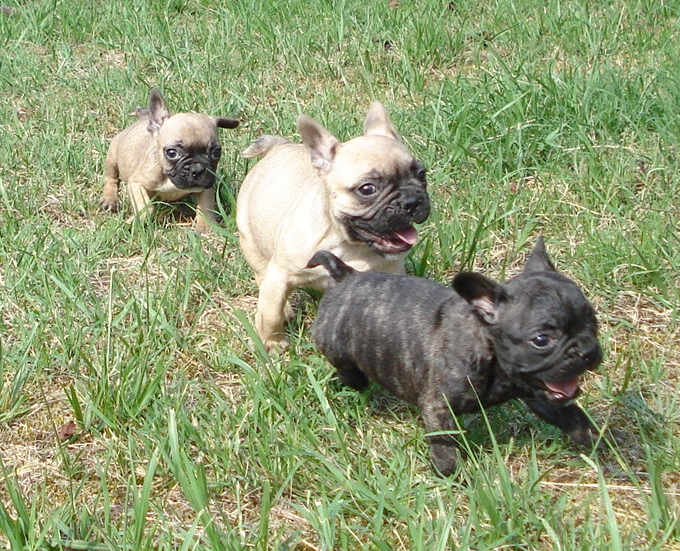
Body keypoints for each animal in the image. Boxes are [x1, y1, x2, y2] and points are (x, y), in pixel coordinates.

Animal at [100, 88, 239, 233]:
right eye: (172, 153)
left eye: (216, 152)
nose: (197, 169)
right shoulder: (136, 183)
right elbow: (147, 207)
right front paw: (135, 221)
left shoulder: (206, 186)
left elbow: (205, 207)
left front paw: (205, 226)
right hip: (112, 156)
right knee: (111, 178)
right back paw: (110, 199)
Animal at [236, 101, 430, 349]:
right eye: (367, 189)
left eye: (421, 174)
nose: (412, 201)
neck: (348, 245)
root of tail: (280, 146)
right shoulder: (280, 274)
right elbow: (271, 314)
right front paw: (271, 342)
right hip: (250, 241)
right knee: (262, 275)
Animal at [307, 239, 603, 476]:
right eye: (541, 340)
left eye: (593, 321)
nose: (587, 351)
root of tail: (346, 275)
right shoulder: (438, 407)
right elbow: (444, 443)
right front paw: (449, 473)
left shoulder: (538, 392)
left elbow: (568, 413)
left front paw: (593, 435)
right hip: (336, 346)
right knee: (347, 370)